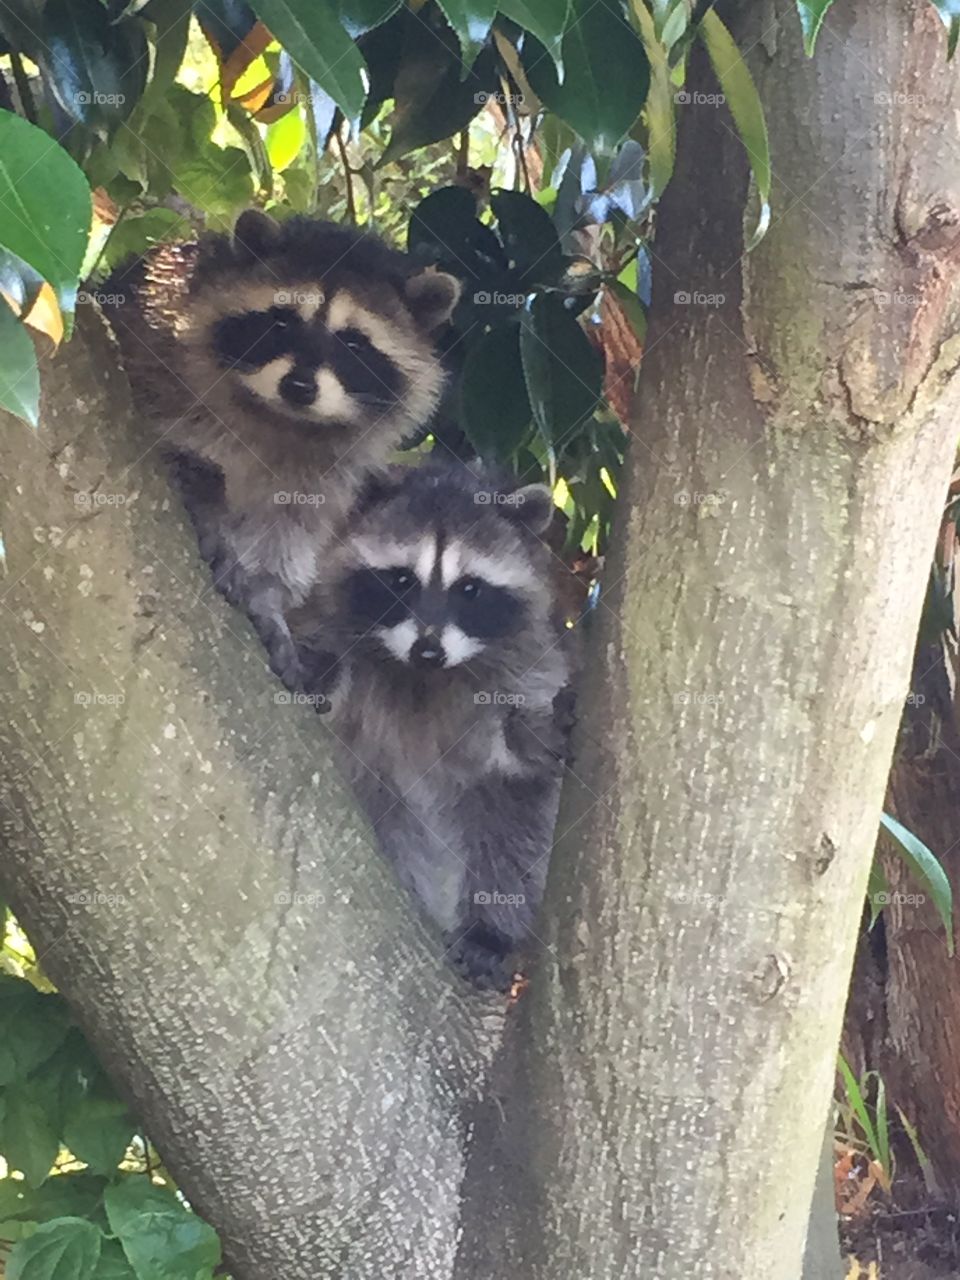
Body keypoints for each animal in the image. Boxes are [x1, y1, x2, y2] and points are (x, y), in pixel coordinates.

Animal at [104, 212, 463, 691]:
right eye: (282, 323)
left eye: (353, 343)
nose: (298, 386)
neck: (282, 419)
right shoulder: (152, 346)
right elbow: (170, 444)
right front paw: (203, 489)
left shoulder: (325, 474)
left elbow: (285, 536)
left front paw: (268, 599)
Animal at [293, 463, 576, 988]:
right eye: (402, 579)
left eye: (469, 588)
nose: (428, 650)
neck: (422, 677)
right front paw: (319, 667)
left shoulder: (530, 662)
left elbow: (523, 773)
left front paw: (536, 729)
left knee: (513, 830)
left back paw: (490, 929)